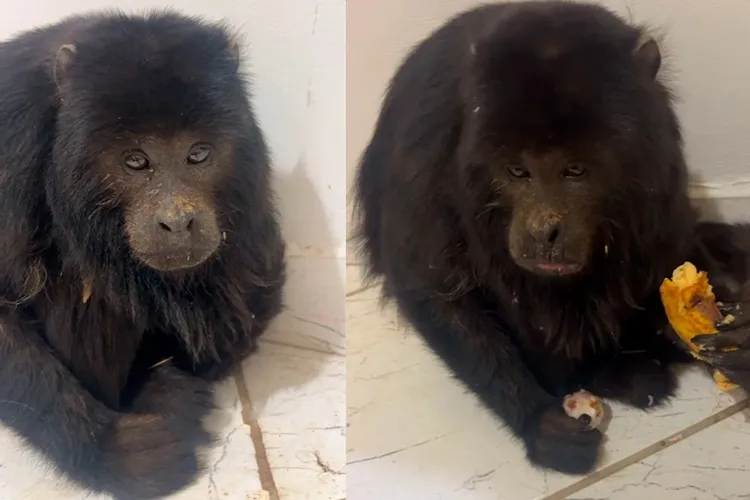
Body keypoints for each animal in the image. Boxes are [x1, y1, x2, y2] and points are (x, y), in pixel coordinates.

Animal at [0, 10, 285, 499]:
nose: (177, 219)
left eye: (199, 154)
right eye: (135, 161)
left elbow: (251, 296)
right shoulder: (11, 148)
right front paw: (110, 450)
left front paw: (166, 391)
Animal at [351, 0, 743, 474]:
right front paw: (539, 420)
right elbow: (432, 286)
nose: (544, 230)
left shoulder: (659, 148)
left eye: (575, 170)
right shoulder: (428, 140)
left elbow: (667, 249)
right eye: (517, 171)